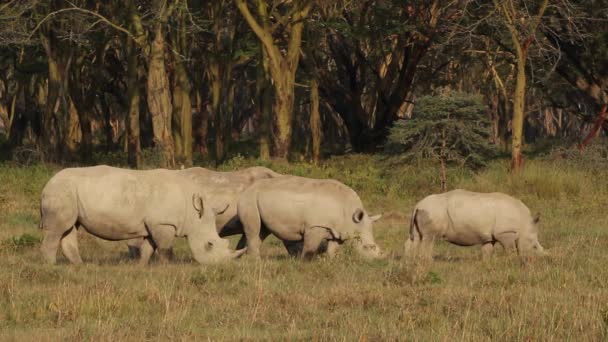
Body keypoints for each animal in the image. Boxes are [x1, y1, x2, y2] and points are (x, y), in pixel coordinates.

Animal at [39, 166, 245, 264]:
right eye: (209, 245)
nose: (219, 265)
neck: (193, 212)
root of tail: (47, 184)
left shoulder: (153, 224)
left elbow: (148, 247)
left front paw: (142, 267)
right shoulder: (164, 223)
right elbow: (165, 248)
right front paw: (168, 267)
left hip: (68, 193)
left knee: (69, 228)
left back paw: (80, 266)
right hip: (60, 192)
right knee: (57, 230)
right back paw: (51, 266)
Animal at [236, 176, 382, 260]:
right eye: (366, 247)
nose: (377, 260)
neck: (349, 213)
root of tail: (247, 188)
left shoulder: (337, 229)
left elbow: (333, 248)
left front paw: (331, 262)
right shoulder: (315, 225)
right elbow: (310, 248)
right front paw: (305, 264)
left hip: (259, 200)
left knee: (262, 231)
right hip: (249, 199)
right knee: (254, 230)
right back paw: (255, 262)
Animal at [404, 190, 548, 260]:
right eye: (534, 246)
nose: (537, 261)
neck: (524, 223)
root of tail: (417, 205)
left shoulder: (490, 236)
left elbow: (487, 250)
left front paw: (486, 264)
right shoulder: (506, 232)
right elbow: (510, 249)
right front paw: (512, 261)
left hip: (424, 211)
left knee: (416, 237)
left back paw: (410, 262)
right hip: (432, 211)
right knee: (429, 238)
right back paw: (428, 261)